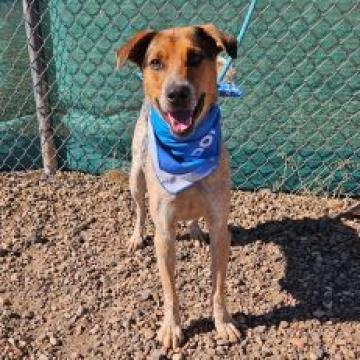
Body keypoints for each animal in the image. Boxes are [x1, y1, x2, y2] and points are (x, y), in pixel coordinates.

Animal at [116, 24, 240, 348]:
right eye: (155, 63)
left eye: (195, 57)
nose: (177, 93)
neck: (187, 151)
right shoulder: (164, 234)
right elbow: (170, 292)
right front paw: (171, 328)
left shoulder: (220, 228)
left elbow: (218, 287)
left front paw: (223, 322)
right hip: (136, 178)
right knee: (139, 209)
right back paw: (136, 236)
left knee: (194, 216)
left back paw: (195, 231)